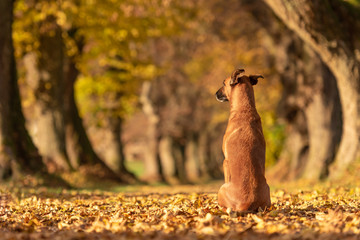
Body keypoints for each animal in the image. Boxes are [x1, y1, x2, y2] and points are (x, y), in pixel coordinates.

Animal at [217, 68, 270, 211]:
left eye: (223, 83)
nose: (216, 93)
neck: (245, 108)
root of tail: (247, 203)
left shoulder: (225, 162)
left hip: (221, 189)